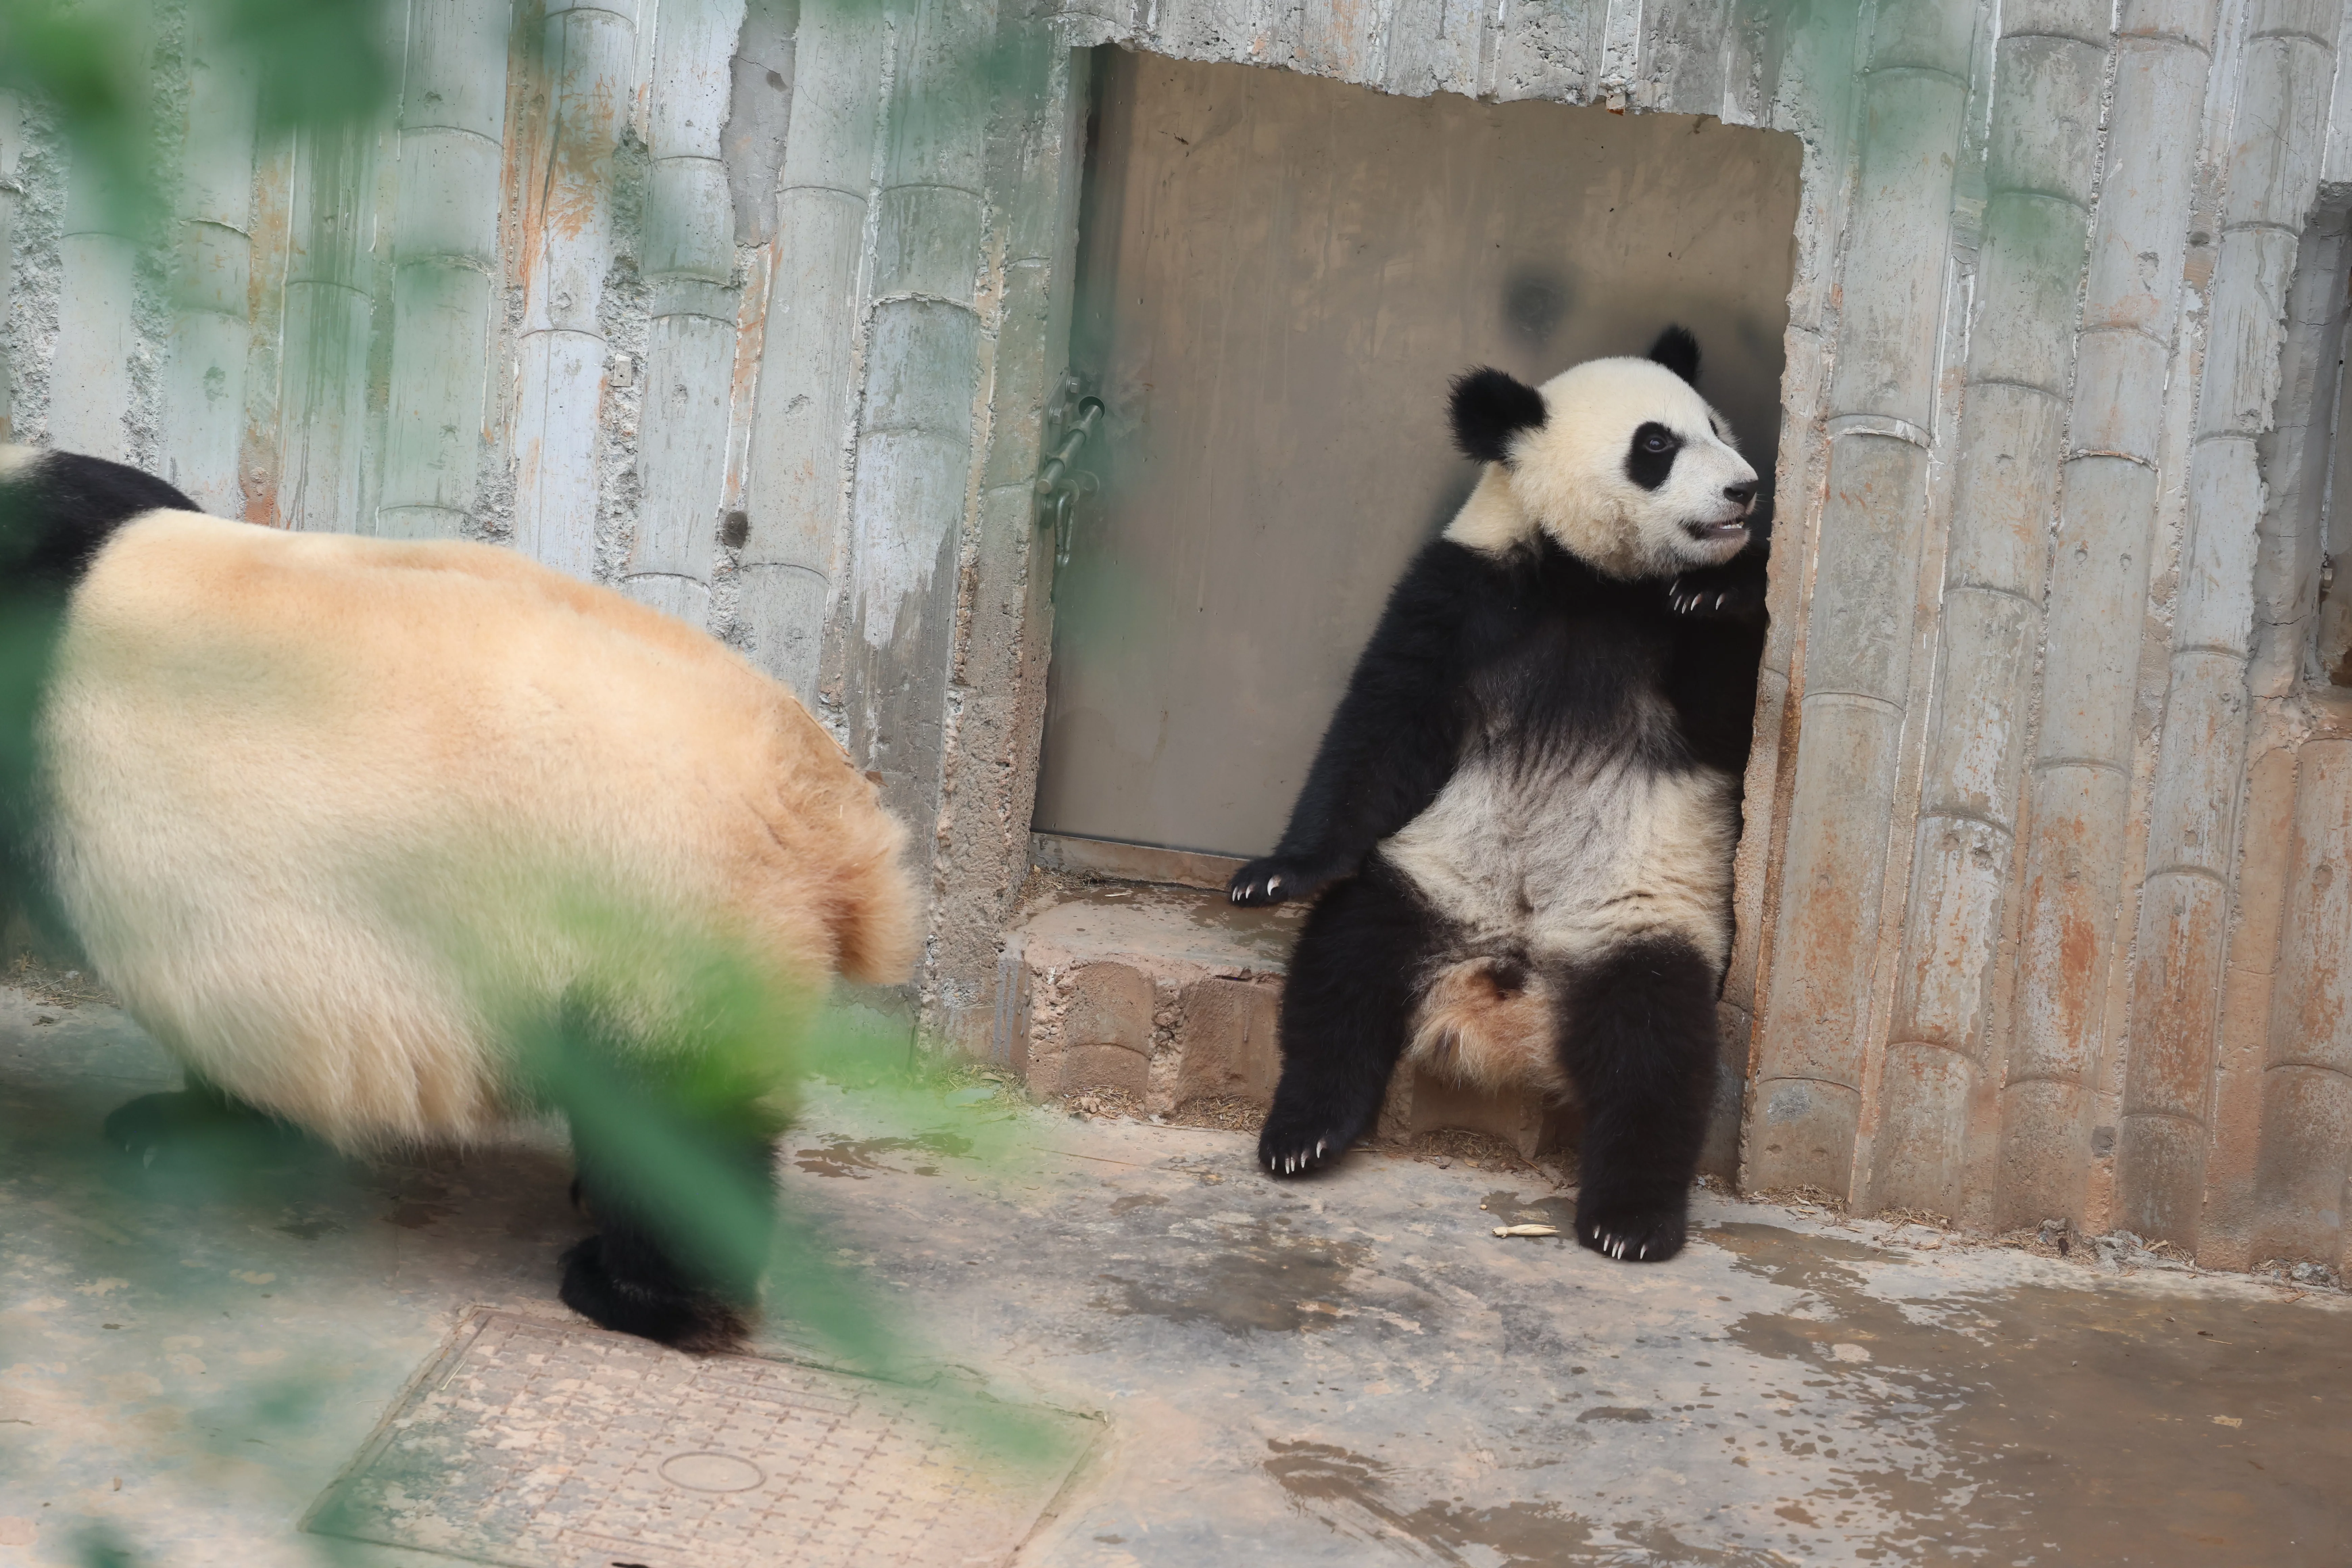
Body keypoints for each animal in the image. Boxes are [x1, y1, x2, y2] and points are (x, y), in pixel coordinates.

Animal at [1227, 326, 1769, 1265]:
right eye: (1656, 445)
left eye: (1714, 423)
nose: (1744, 487)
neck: (1591, 581)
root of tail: (1508, 985)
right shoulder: (1468, 590)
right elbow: (1381, 729)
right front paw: (1276, 871)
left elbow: (1727, 719)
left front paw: (1717, 593)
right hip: (1428, 882)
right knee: (1342, 973)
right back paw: (1304, 1131)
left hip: (1637, 923)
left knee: (1655, 1049)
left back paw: (1631, 1220)